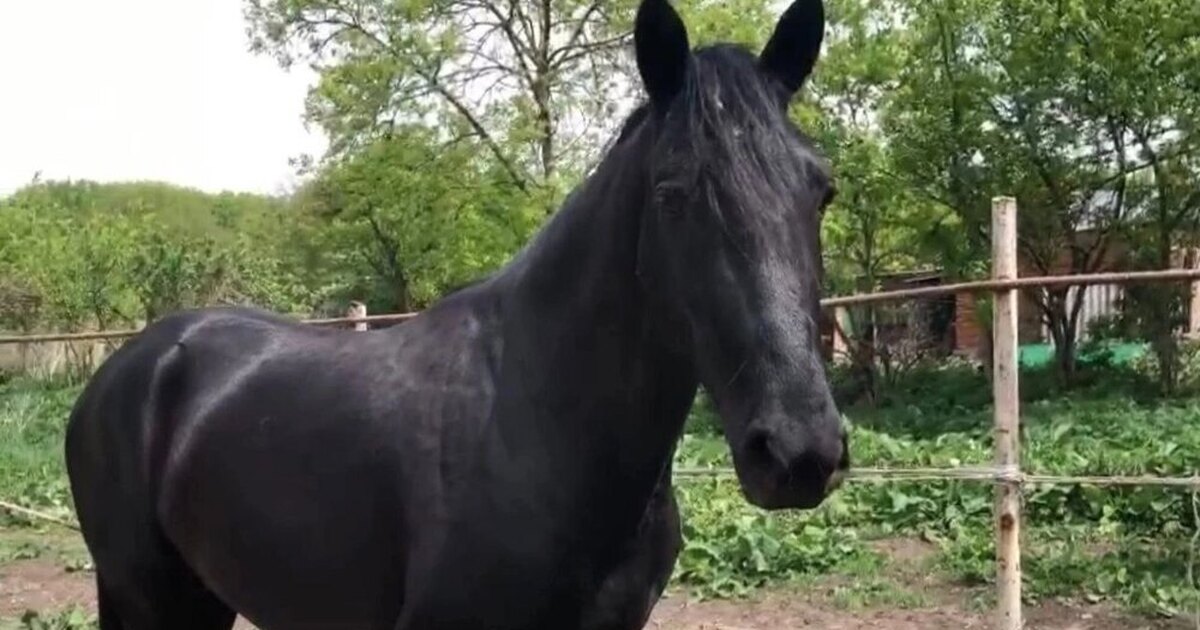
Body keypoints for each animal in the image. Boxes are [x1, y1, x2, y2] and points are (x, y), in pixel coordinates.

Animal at [63, 0, 847, 627]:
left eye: (823, 189)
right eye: (673, 194)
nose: (798, 452)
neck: (542, 427)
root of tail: (136, 361)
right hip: (148, 596)